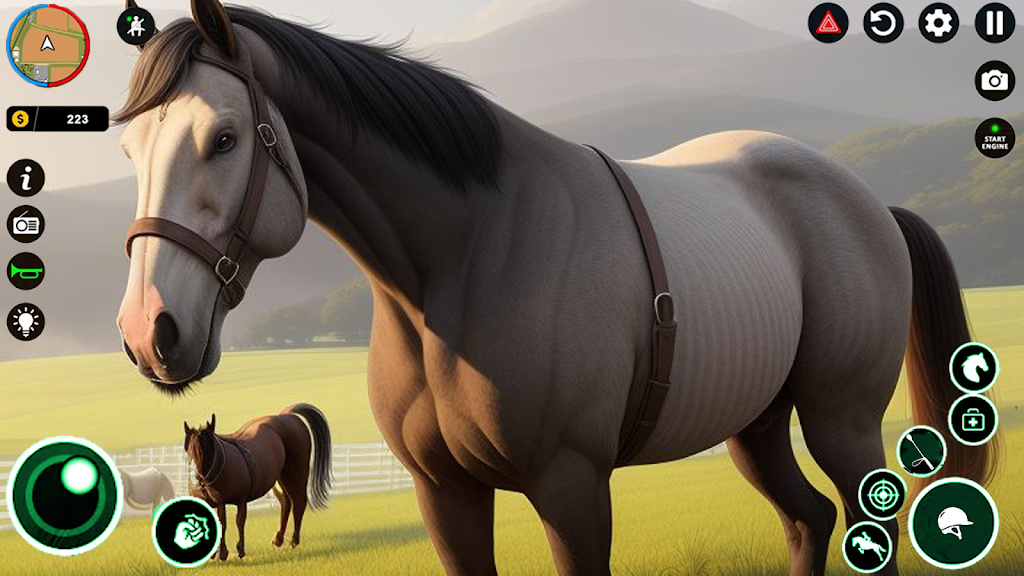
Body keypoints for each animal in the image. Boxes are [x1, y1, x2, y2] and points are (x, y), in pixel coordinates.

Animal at [183, 404, 332, 560]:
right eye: (189, 450)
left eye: (207, 450)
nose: (197, 479)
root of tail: (287, 416)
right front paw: (214, 554)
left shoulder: (238, 500)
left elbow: (235, 522)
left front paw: (232, 551)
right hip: (280, 477)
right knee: (286, 502)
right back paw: (278, 539)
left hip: (296, 473)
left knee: (299, 502)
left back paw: (294, 540)